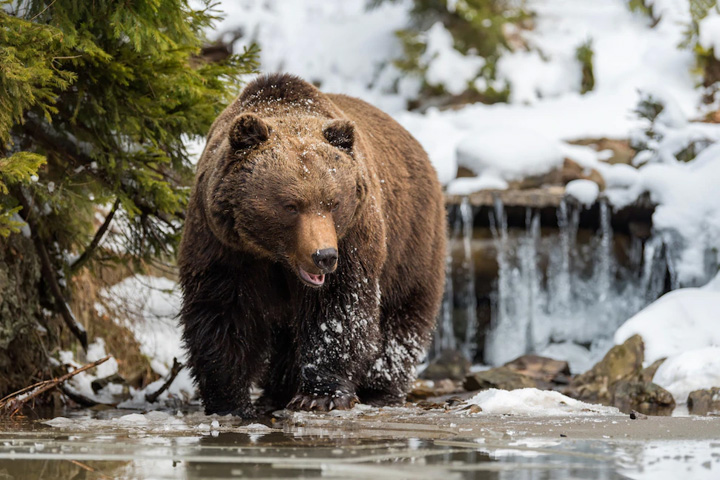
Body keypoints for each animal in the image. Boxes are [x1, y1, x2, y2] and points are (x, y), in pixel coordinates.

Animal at [179, 72, 444, 416]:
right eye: (291, 205)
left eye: (333, 202)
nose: (324, 256)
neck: (274, 256)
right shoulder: (222, 243)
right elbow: (222, 311)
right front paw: (229, 400)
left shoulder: (353, 237)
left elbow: (338, 310)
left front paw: (321, 394)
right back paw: (277, 391)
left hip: (412, 239)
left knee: (402, 315)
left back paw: (380, 389)